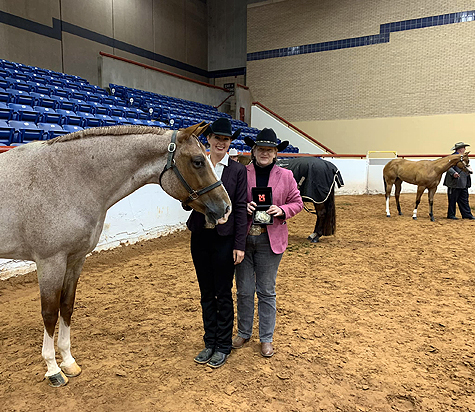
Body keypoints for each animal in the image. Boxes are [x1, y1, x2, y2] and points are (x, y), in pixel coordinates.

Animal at [0, 122, 232, 386]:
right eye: (198, 161)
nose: (226, 207)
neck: (64, 178)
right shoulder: (50, 261)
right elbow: (49, 313)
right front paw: (53, 370)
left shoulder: (75, 259)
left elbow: (66, 306)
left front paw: (68, 362)